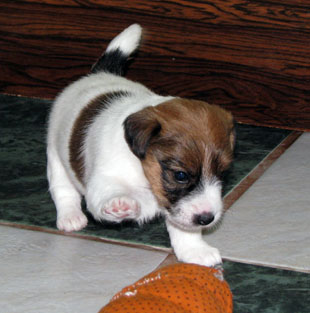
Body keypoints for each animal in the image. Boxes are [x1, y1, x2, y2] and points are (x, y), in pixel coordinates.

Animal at [46, 23, 235, 266]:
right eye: (180, 175)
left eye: (222, 172)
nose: (207, 219)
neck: (141, 171)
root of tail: (99, 73)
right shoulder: (103, 179)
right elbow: (106, 193)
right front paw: (119, 204)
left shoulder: (176, 207)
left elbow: (183, 227)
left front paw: (194, 250)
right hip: (55, 155)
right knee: (63, 189)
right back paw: (70, 216)